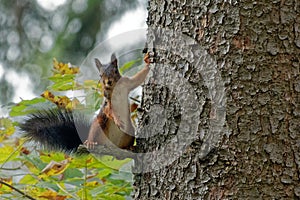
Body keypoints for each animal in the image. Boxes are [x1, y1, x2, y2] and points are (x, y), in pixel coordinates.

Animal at [21, 52, 151, 152]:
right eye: (100, 75)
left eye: (115, 71)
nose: (107, 82)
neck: (114, 88)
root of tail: (111, 145)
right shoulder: (107, 99)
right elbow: (109, 110)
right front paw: (117, 120)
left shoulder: (126, 83)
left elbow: (138, 79)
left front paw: (148, 61)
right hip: (98, 125)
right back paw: (90, 143)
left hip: (130, 131)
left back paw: (130, 147)